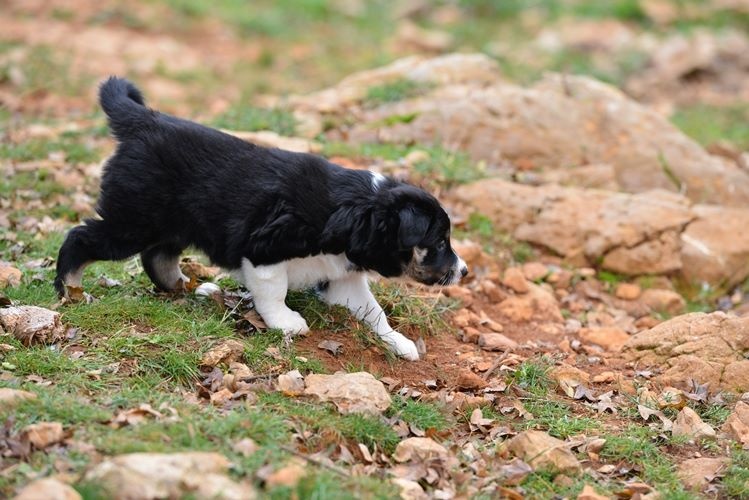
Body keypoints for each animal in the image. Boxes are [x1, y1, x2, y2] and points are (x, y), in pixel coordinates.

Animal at [55, 77, 468, 360]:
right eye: (439, 243)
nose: (464, 271)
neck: (361, 212)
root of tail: (143, 120)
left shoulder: (343, 276)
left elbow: (374, 311)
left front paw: (400, 343)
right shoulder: (265, 248)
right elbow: (275, 290)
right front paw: (286, 323)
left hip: (174, 223)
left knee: (157, 257)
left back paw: (187, 286)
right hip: (133, 220)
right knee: (81, 237)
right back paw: (69, 290)